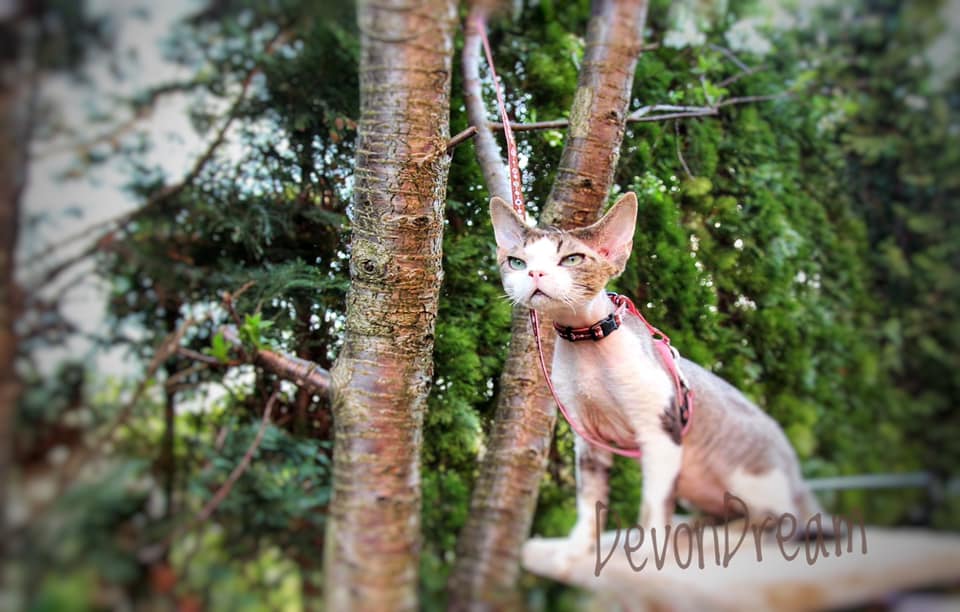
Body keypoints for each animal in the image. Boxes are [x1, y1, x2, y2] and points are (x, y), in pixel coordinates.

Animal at [489, 191, 823, 552]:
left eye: (572, 259)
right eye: (517, 262)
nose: (535, 273)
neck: (587, 342)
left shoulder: (661, 432)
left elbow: (654, 503)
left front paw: (649, 550)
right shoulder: (588, 439)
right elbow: (590, 500)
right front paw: (577, 549)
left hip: (748, 471)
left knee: (779, 523)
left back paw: (717, 536)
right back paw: (695, 528)